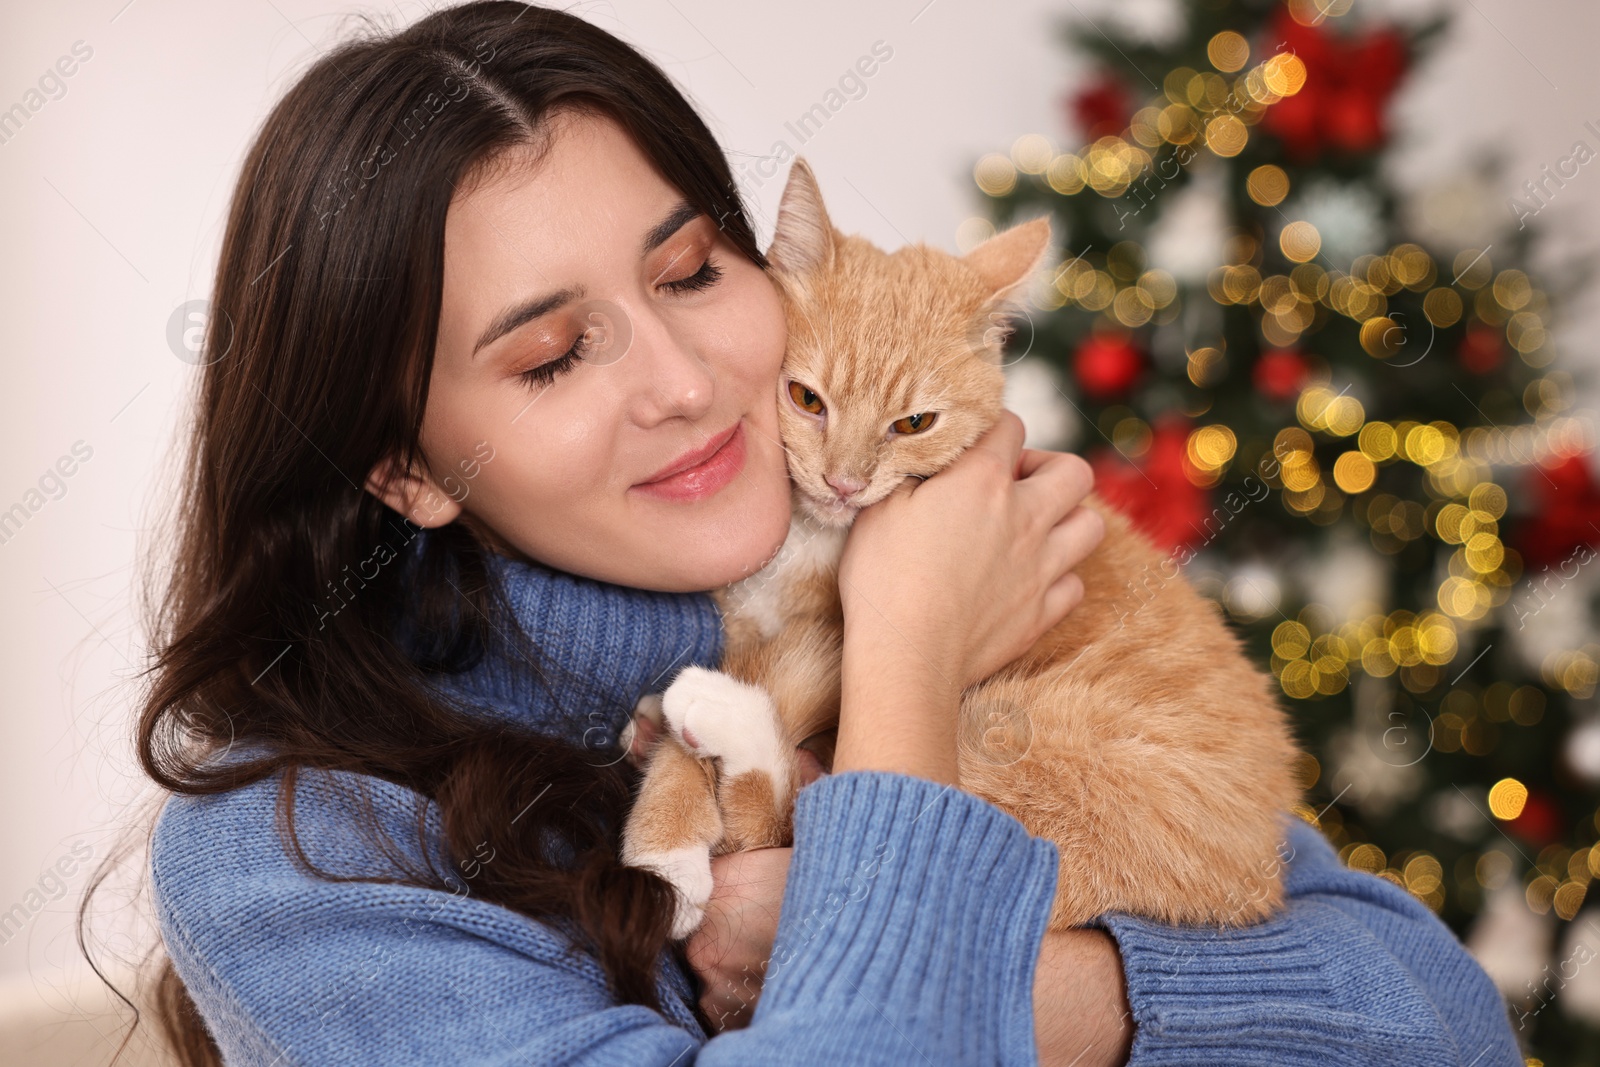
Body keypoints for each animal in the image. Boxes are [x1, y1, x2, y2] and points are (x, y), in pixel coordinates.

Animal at [617, 158, 1305, 940]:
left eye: (914, 424)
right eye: (807, 399)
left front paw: (665, 855)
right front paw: (666, 842)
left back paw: (716, 712)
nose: (844, 482)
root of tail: (1257, 883)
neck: (806, 542)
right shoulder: (743, 622)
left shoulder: (833, 642)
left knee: (803, 814)